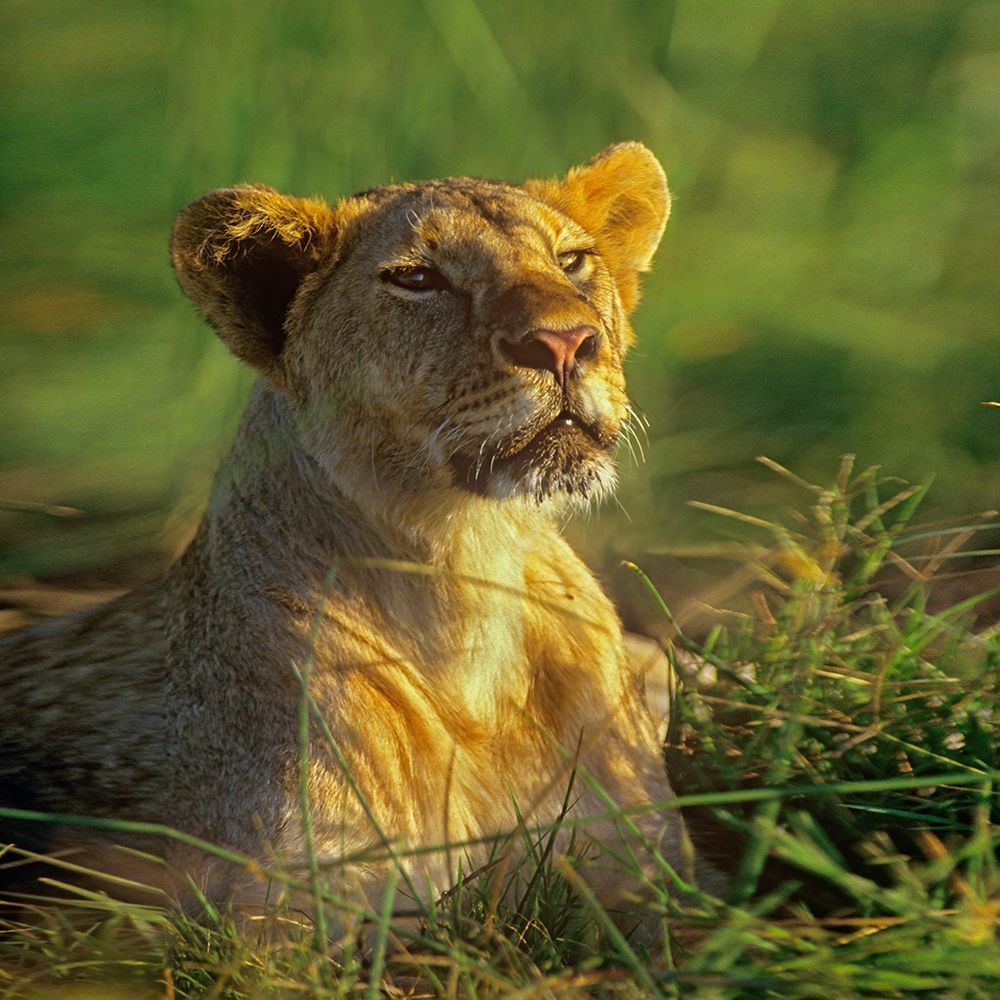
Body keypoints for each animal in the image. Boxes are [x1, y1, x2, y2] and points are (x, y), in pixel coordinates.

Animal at [0, 143, 704, 923]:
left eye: (573, 260)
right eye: (418, 279)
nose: (566, 342)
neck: (468, 569)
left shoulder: (649, 869)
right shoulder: (285, 904)